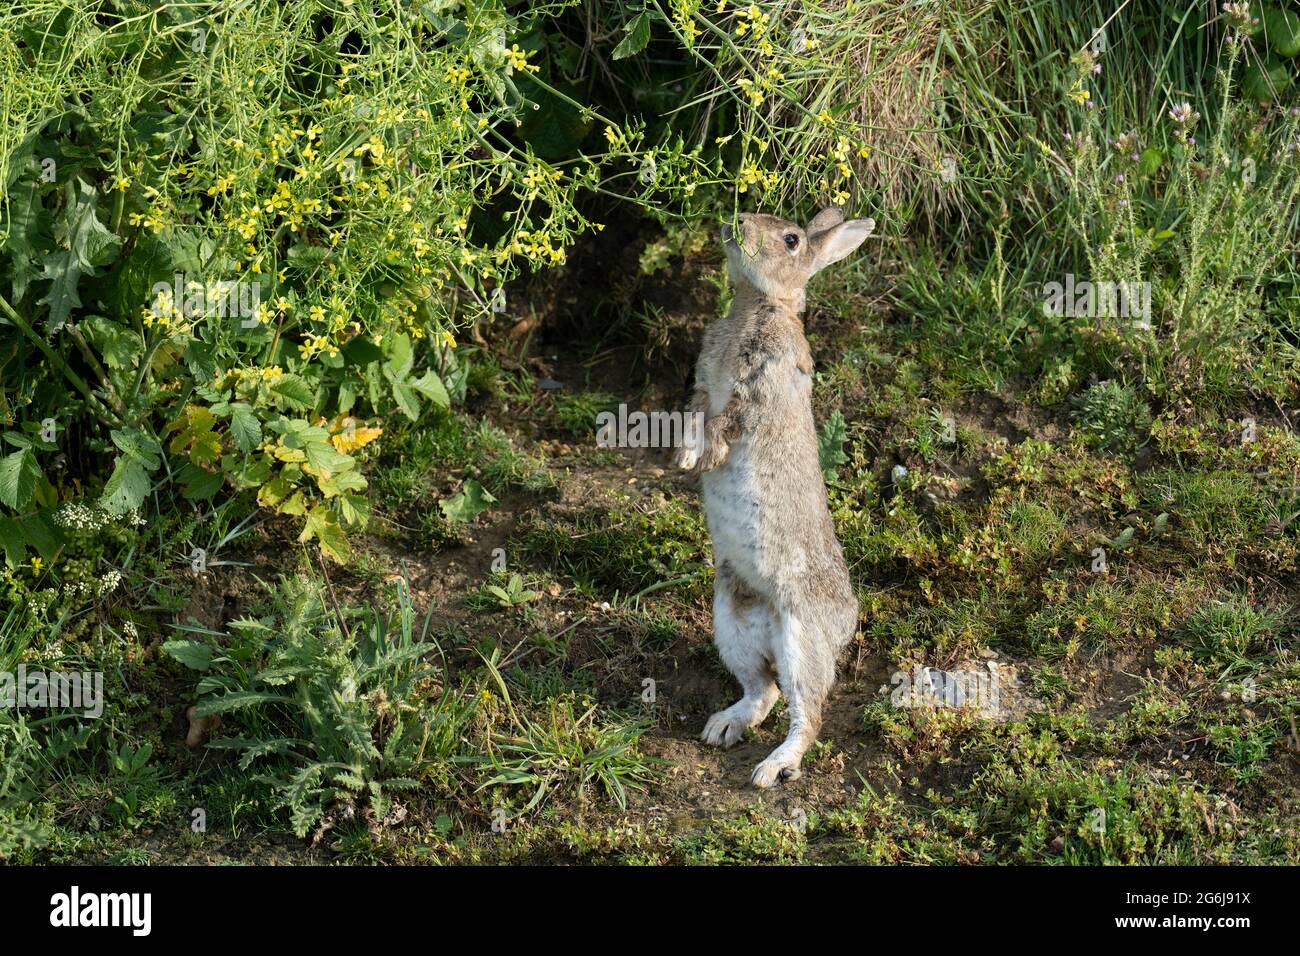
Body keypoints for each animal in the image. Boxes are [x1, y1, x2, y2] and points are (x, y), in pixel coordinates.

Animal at [670, 205, 873, 790]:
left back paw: (772, 769)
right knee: (763, 692)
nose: (734, 222)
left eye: (790, 240)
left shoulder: (758, 384)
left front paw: (708, 459)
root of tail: (846, 625)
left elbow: (727, 420)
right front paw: (684, 459)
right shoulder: (701, 384)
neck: (757, 305)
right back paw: (721, 727)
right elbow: (696, 411)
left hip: (800, 636)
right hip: (729, 622)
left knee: (806, 712)